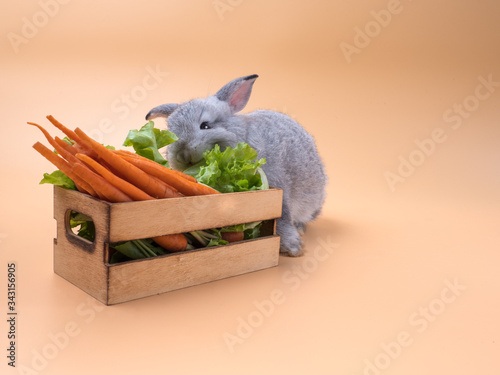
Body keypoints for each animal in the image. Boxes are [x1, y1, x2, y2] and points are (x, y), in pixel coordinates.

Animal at [146, 75, 328, 258]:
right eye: (173, 134)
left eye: (205, 125)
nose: (183, 155)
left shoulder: (278, 191)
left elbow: (282, 216)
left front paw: (293, 248)